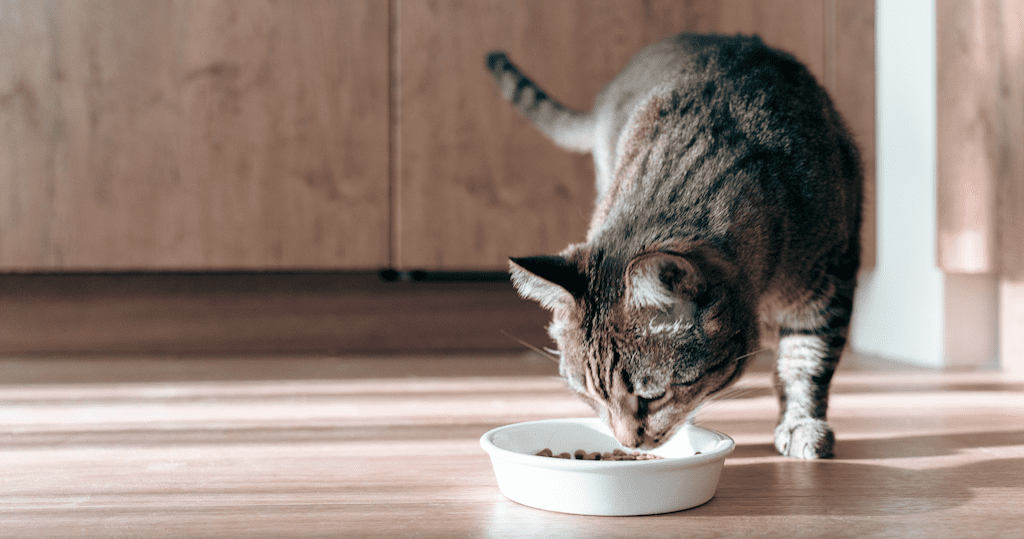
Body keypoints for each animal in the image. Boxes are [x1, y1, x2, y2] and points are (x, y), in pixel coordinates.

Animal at [487, 31, 864, 459]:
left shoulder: (829, 282)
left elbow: (806, 361)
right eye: (590, 395)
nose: (626, 443)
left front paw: (803, 425)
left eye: (653, 397)